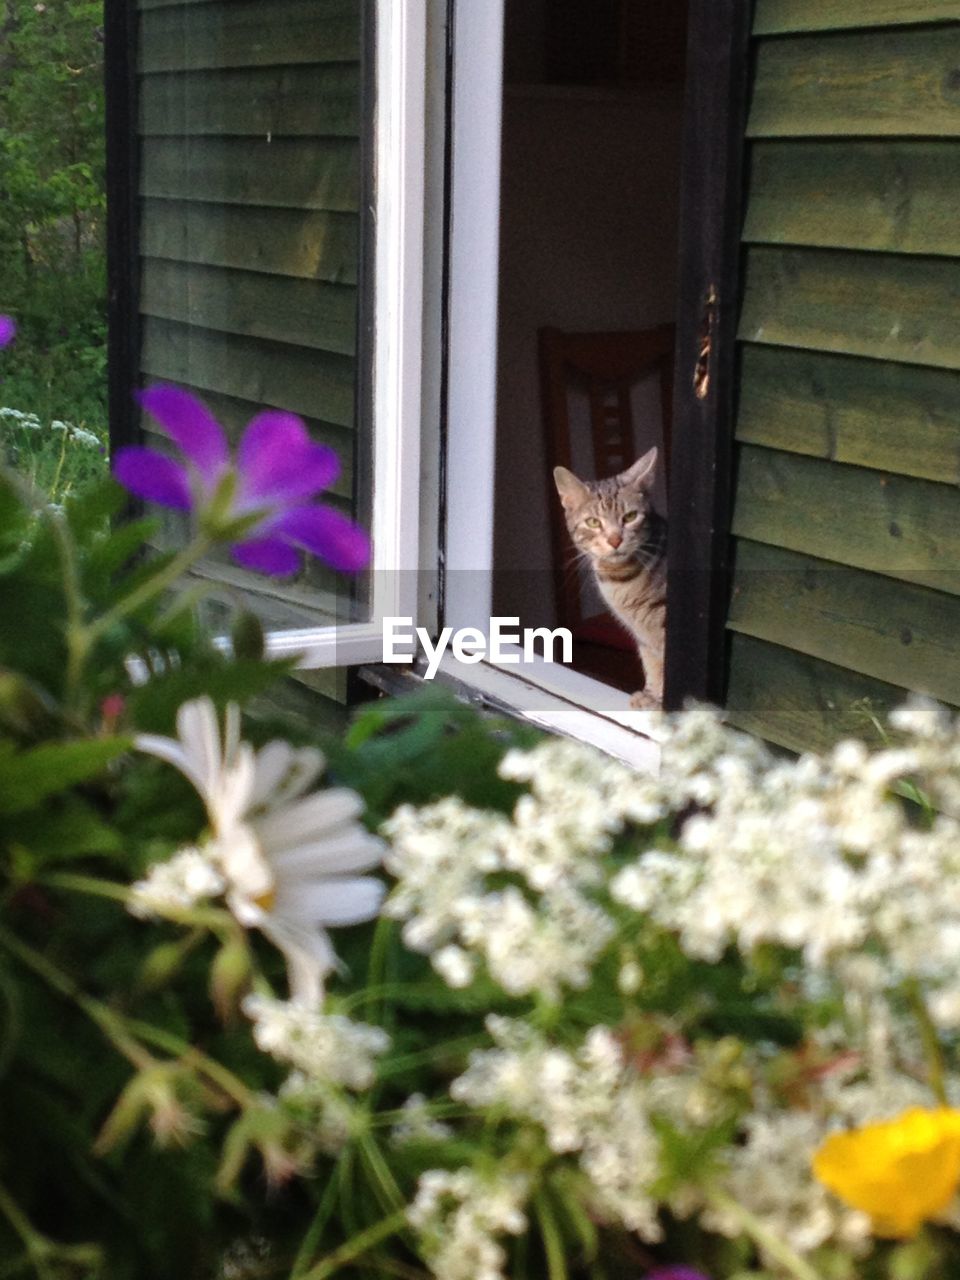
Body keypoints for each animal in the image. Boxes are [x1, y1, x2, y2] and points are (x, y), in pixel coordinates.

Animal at [555, 448, 670, 711]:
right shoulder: (643, 637)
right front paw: (651, 695)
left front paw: (662, 704)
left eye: (630, 517)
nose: (615, 540)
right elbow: (653, 665)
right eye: (593, 522)